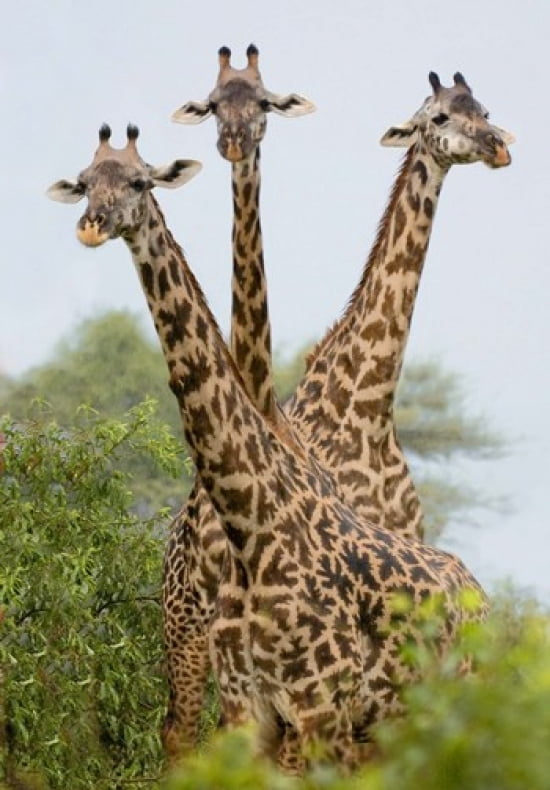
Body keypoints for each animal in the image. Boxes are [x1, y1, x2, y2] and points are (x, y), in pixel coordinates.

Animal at [48, 122, 489, 773]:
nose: (92, 223)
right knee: (178, 734)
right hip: (190, 631)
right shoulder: (253, 707)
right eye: (83, 182)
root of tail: (478, 593)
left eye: (139, 181)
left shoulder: (316, 709)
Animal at [161, 67, 514, 757]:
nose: (497, 145)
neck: (368, 405)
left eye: (483, 110)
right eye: (438, 117)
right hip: (185, 634)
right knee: (180, 737)